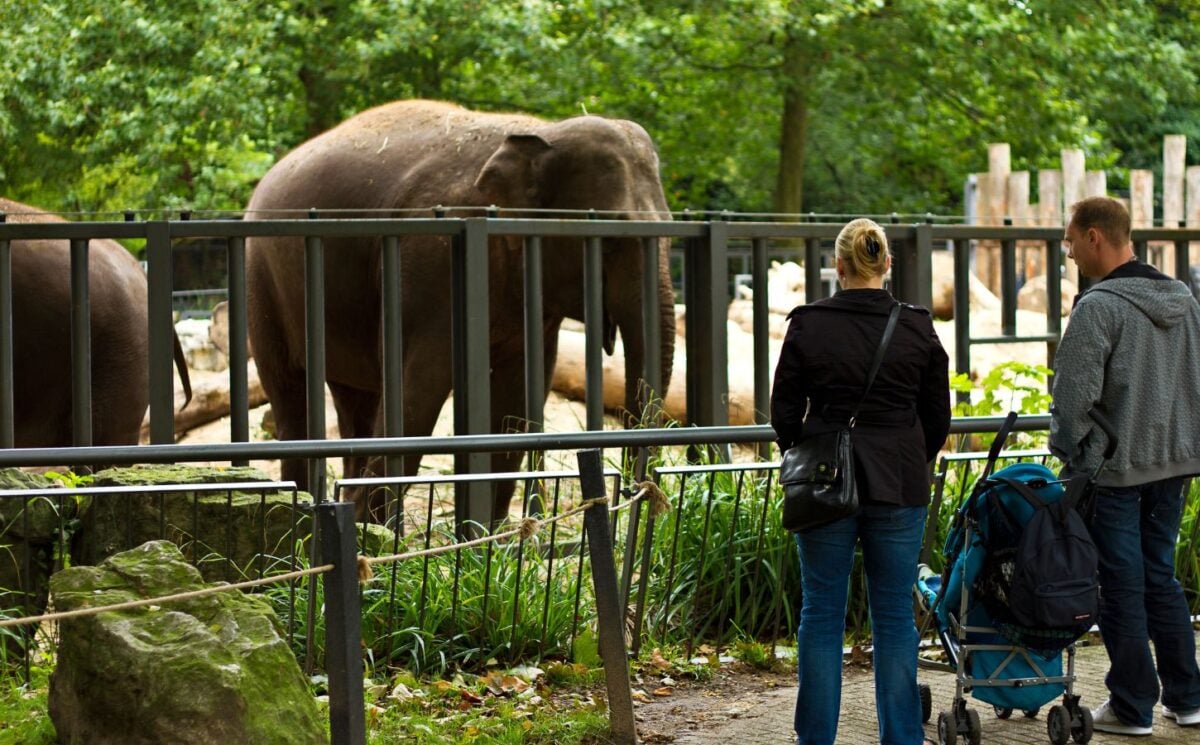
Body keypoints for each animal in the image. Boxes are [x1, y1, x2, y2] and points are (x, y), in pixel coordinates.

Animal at [246, 98, 676, 525]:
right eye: (612, 241)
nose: (635, 492)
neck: (541, 131)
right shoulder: (430, 268)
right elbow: (418, 392)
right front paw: (373, 530)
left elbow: (514, 403)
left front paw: (489, 536)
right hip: (263, 279)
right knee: (291, 396)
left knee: (356, 402)